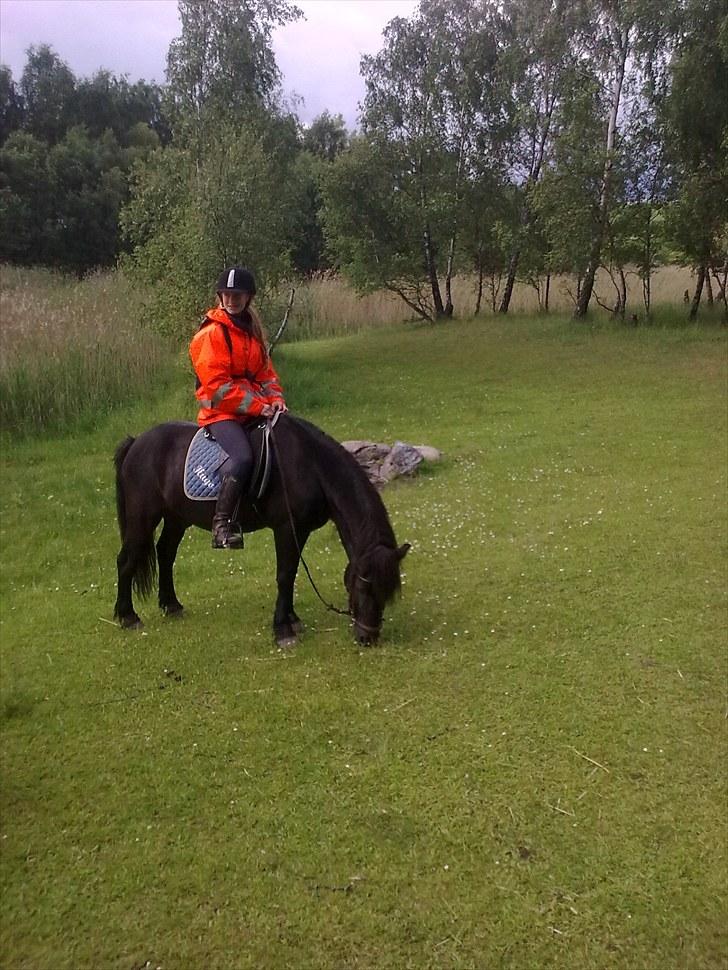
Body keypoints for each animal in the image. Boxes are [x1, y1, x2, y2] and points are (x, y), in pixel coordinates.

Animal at [114, 410, 410, 644]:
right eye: (365, 586)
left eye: (388, 592)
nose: (367, 637)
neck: (310, 465)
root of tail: (136, 442)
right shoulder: (285, 528)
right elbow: (284, 575)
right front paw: (283, 630)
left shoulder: (300, 530)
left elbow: (292, 573)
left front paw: (292, 619)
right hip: (143, 517)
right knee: (126, 560)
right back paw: (128, 616)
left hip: (177, 517)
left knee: (165, 553)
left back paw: (171, 605)